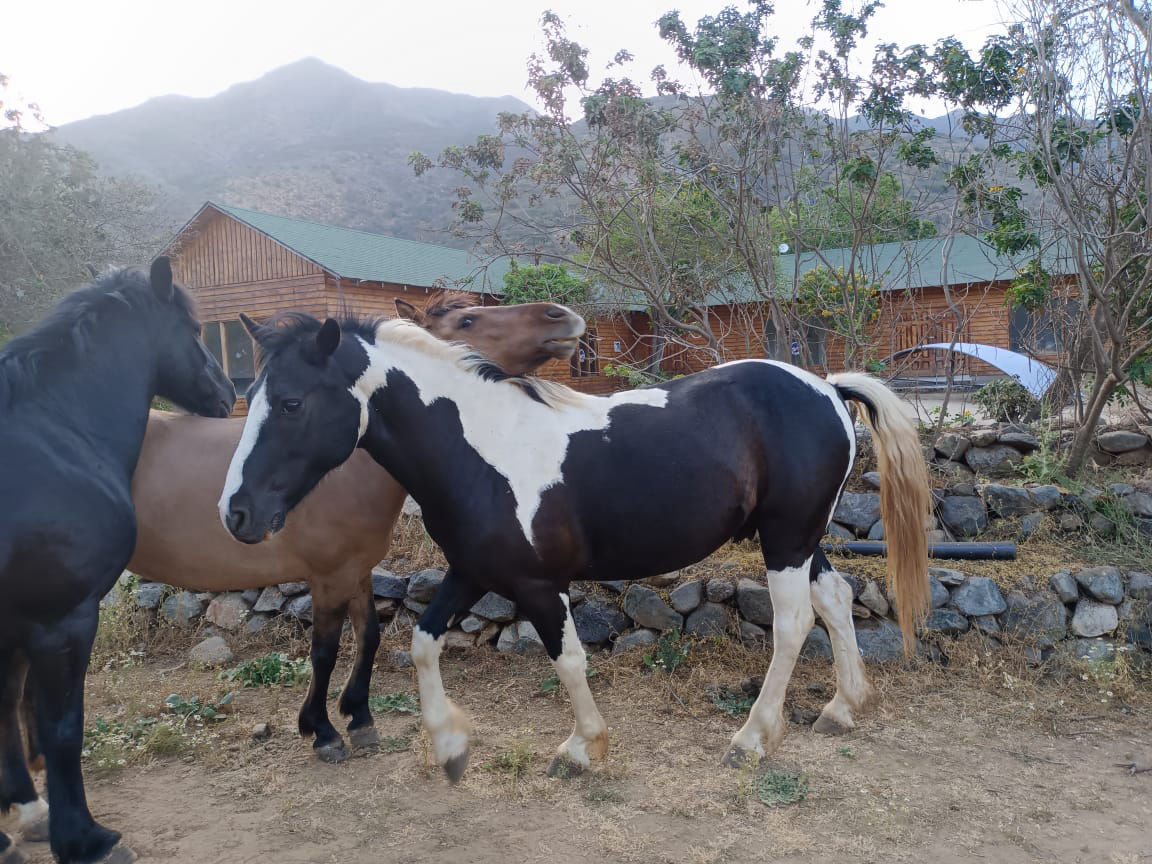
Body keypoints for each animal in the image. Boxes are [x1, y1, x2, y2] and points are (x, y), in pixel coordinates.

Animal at [0, 259, 236, 864]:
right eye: (195, 331)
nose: (229, 390)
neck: (59, 435)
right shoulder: (62, 620)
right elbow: (62, 727)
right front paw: (84, 840)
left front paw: (27, 814)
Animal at [220, 315, 930, 783]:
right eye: (250, 395)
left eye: (291, 402)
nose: (236, 513)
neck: (481, 449)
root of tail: (828, 387)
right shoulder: (472, 571)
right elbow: (422, 642)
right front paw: (450, 748)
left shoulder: (538, 584)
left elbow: (567, 660)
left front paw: (584, 748)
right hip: (801, 540)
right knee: (835, 599)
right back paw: (841, 707)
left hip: (785, 538)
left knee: (793, 623)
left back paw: (752, 738)